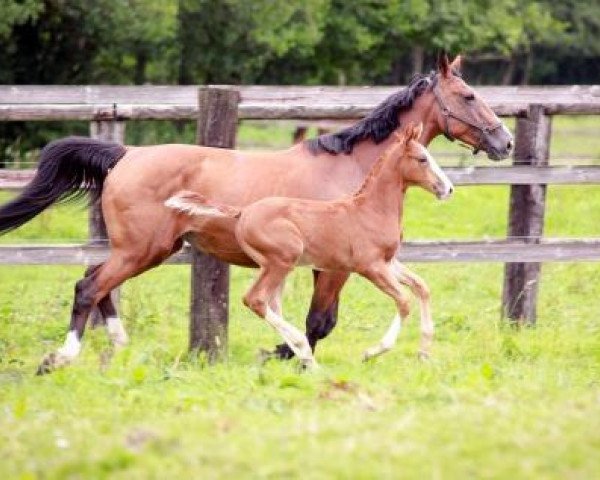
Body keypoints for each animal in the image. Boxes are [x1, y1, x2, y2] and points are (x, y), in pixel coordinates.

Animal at [166, 123, 452, 368]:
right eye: (422, 159)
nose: (448, 189)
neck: (371, 209)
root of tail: (242, 212)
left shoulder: (388, 262)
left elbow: (421, 288)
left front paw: (424, 352)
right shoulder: (369, 266)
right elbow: (404, 302)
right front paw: (371, 352)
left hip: (275, 266)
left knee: (270, 304)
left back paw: (299, 353)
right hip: (282, 260)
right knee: (255, 299)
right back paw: (305, 353)